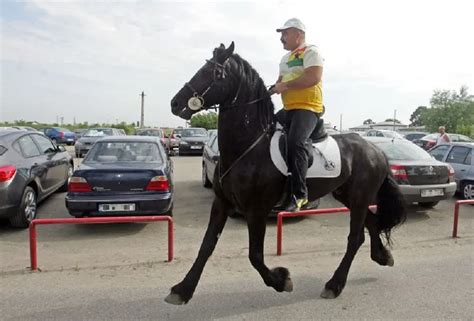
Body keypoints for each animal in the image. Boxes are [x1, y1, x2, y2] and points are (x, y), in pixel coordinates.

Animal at [165, 41, 406, 304]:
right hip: (347, 196)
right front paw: (182, 289)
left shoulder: (256, 210)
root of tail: (377, 150)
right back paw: (382, 256)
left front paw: (281, 280)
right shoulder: (221, 203)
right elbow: (206, 246)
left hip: (360, 197)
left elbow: (255, 256)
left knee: (355, 238)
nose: (175, 103)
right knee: (371, 223)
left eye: (212, 73)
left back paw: (335, 284)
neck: (249, 147)